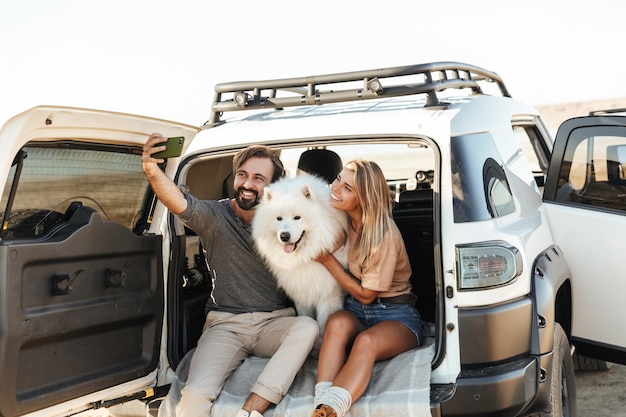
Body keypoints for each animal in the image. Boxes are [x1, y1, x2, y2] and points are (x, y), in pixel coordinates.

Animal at [254, 174, 352, 336]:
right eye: (279, 218)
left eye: (297, 217)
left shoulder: (329, 295)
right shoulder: (301, 293)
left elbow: (323, 324)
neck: (303, 258)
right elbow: (305, 317)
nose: (284, 236)